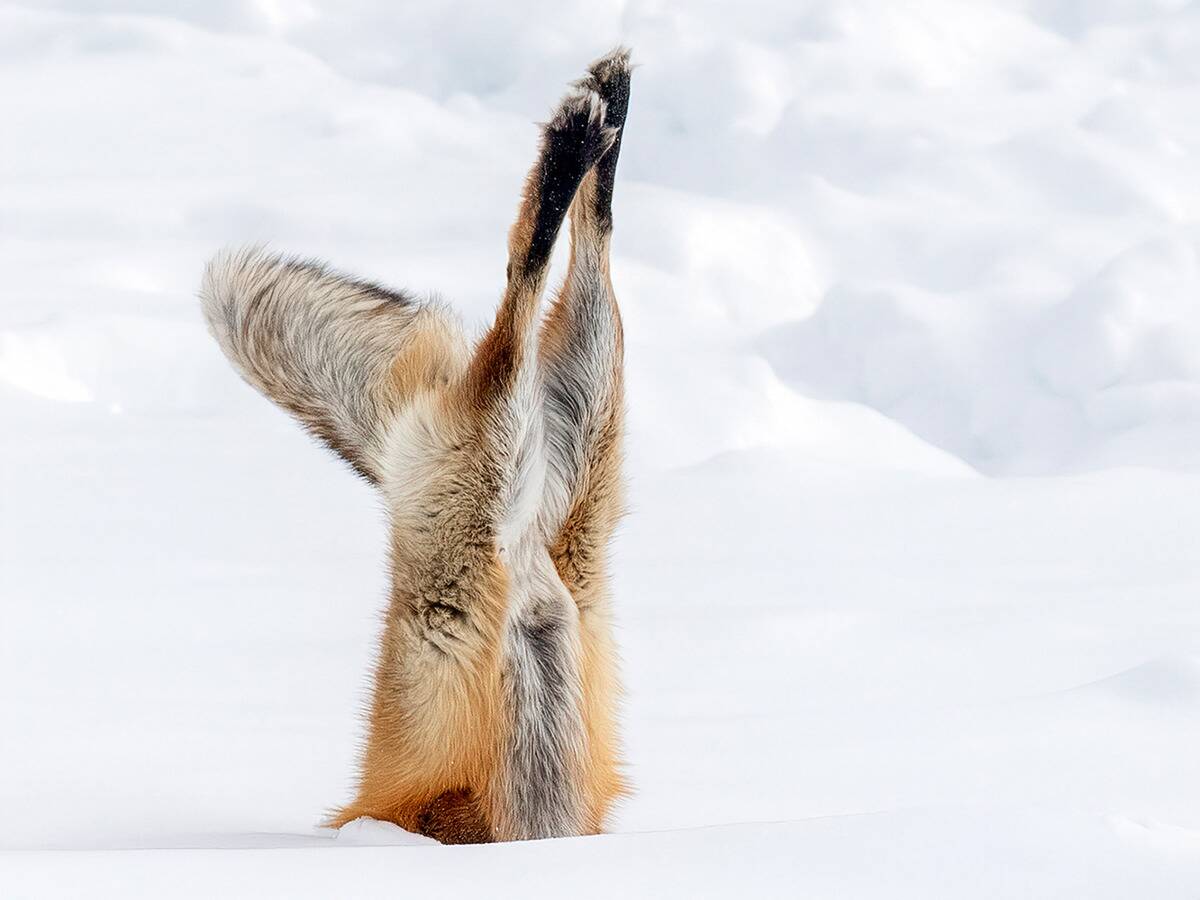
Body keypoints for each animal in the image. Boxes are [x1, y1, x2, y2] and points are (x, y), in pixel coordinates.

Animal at [201, 49, 633, 844]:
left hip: (479, 483)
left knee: (516, 298)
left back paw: (575, 138)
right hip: (585, 462)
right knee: (587, 257)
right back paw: (603, 115)